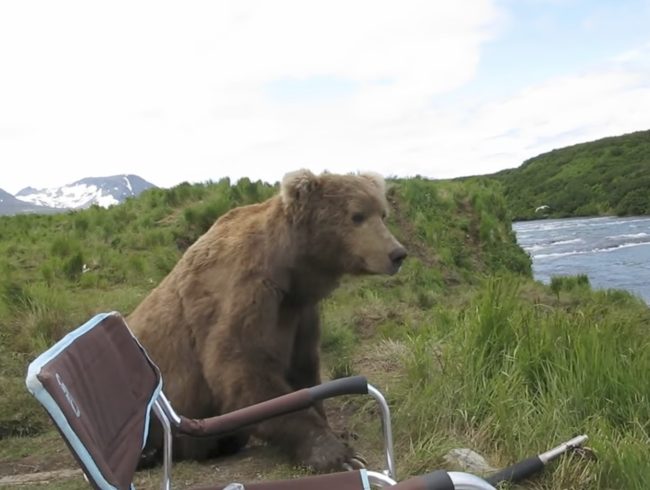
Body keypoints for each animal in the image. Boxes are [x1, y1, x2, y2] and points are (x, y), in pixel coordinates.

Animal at [128, 169, 407, 471]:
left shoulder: (299, 313)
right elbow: (244, 370)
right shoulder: (245, 295)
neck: (288, 271)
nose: (397, 253)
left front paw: (337, 432)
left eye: (382, 213)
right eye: (357, 215)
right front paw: (339, 454)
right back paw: (150, 453)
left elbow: (303, 368)